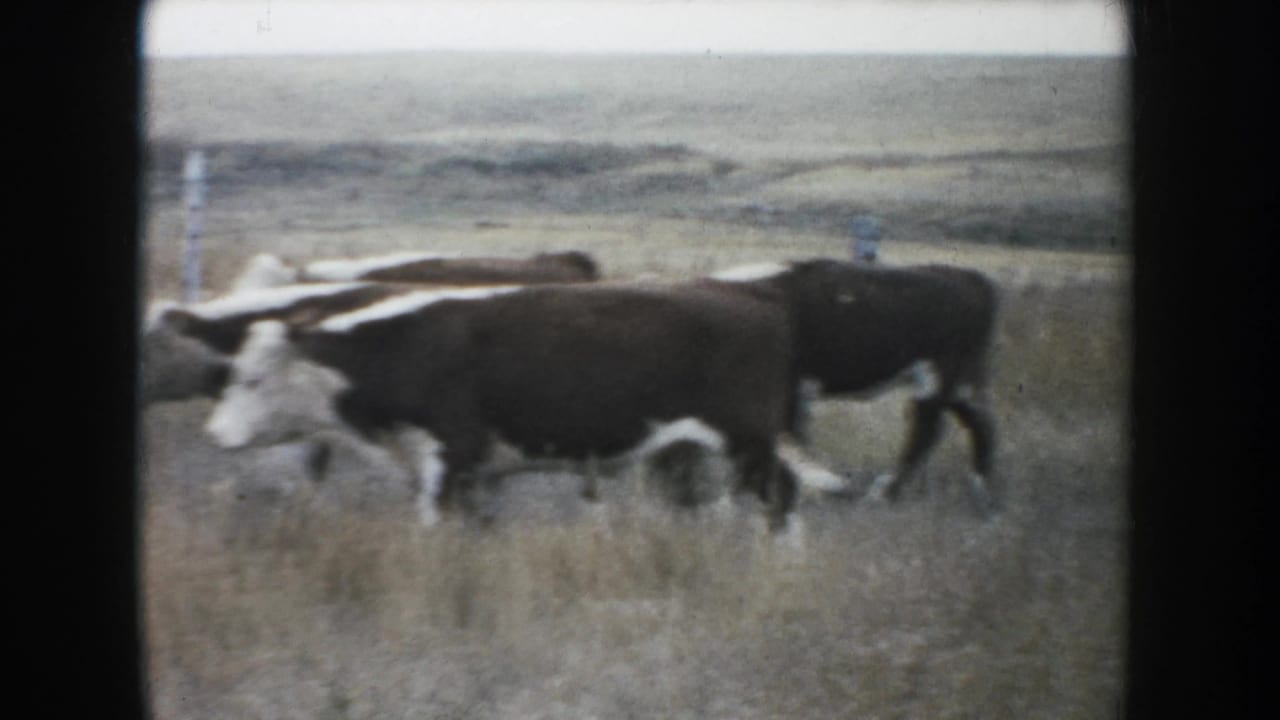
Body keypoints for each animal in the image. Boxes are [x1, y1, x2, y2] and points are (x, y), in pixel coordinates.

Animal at [203, 282, 801, 531]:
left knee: (782, 499)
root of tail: (757, 298)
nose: (215, 434)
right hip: (691, 450)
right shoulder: (479, 475)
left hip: (748, 440)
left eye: (253, 379)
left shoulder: (451, 458)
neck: (404, 344)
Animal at [710, 258, 1000, 515]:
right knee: (975, 424)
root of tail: (971, 278)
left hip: (937, 379)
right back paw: (982, 494)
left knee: (927, 431)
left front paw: (727, 504)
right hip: (956, 384)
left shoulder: (785, 395)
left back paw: (880, 495)